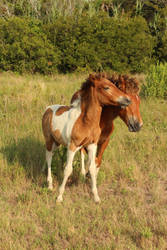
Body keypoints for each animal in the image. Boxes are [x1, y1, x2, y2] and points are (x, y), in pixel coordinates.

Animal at [41, 73, 130, 202]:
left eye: (114, 85)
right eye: (106, 87)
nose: (127, 100)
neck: (86, 121)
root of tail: (48, 108)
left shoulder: (92, 145)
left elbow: (92, 168)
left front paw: (96, 197)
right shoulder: (72, 146)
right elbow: (68, 169)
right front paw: (59, 196)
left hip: (57, 142)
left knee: (49, 155)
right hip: (49, 140)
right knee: (49, 158)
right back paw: (50, 185)